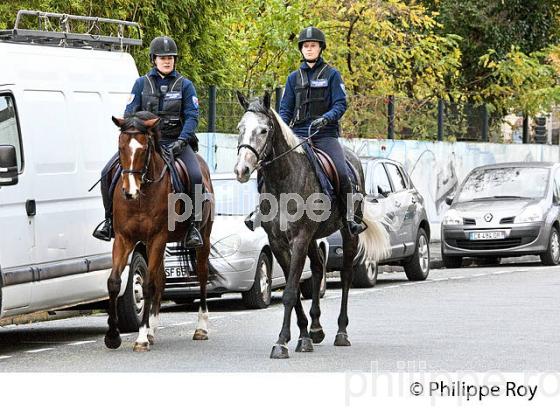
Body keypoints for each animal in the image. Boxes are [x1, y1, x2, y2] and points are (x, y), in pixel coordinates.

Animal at [104, 110, 213, 350]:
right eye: (120, 147)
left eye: (144, 149)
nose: (129, 191)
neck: (141, 196)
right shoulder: (124, 239)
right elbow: (114, 282)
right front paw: (113, 336)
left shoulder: (157, 238)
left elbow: (147, 285)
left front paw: (141, 338)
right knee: (162, 279)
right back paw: (152, 329)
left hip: (203, 237)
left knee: (201, 275)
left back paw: (201, 328)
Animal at [233, 90, 390, 358]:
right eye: (240, 128)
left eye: (263, 130)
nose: (241, 169)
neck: (283, 182)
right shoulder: (279, 243)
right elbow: (294, 289)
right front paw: (302, 336)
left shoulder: (299, 239)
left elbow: (289, 291)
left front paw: (282, 342)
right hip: (313, 238)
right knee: (318, 267)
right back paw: (316, 329)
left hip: (348, 235)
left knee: (346, 276)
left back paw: (341, 332)